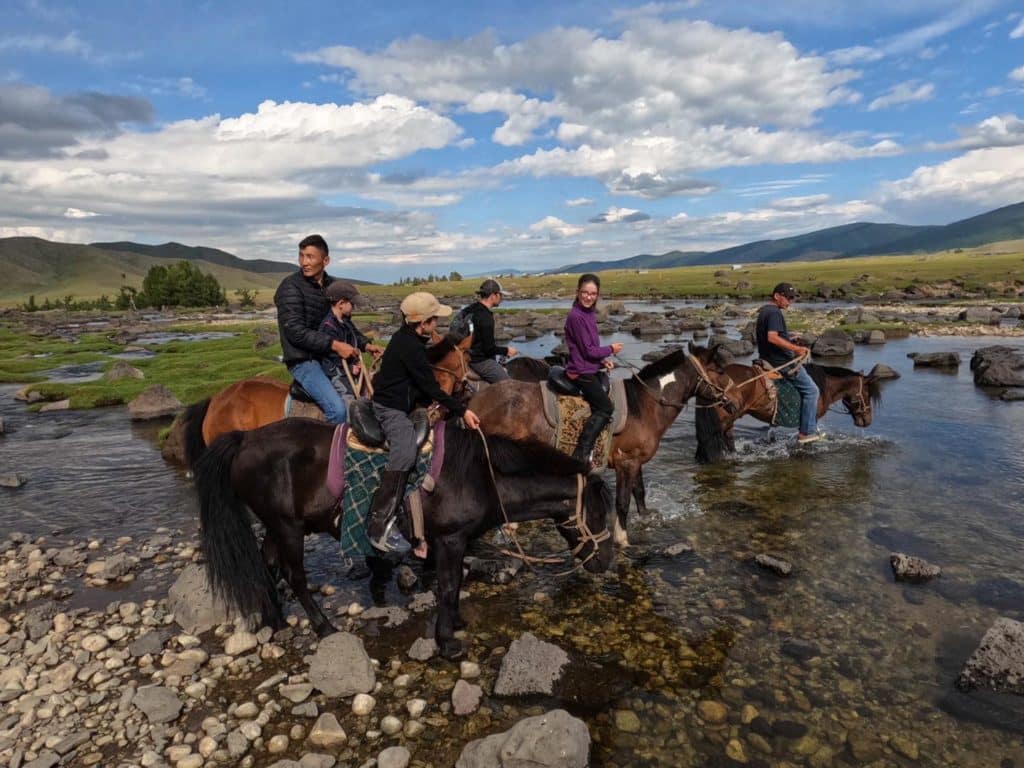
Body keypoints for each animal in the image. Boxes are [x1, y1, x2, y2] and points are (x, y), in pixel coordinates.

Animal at [195, 417, 614, 659]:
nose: (605, 561)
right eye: (598, 511)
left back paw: (276, 620)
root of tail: (245, 439)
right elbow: (449, 585)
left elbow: (451, 584)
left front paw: (455, 625)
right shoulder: (450, 539)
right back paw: (323, 627)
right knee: (294, 575)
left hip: (276, 526)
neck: (482, 475)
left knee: (266, 565)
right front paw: (448, 642)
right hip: (288, 527)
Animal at [468, 348, 733, 548]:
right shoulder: (627, 462)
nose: (732, 401)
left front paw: (645, 520)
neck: (644, 406)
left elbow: (639, 493)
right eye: (720, 371)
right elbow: (623, 501)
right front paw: (622, 539)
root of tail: (475, 403)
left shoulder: (635, 462)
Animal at [692, 348, 884, 462]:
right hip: (722, 420)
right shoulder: (810, 416)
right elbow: (807, 440)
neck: (824, 386)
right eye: (867, 395)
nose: (867, 421)